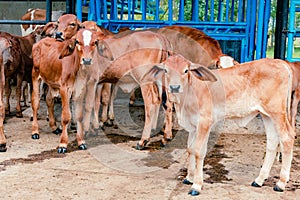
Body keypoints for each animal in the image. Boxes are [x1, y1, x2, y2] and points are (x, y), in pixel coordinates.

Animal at [143, 54, 296, 195]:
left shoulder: (205, 122)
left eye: (186, 70)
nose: (174, 87)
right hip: (266, 114)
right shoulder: (193, 126)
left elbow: (199, 151)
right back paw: (259, 180)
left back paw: (281, 183)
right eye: (166, 70)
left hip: (277, 113)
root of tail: (281, 63)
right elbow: (190, 149)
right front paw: (189, 177)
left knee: (287, 138)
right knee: (272, 141)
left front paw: (196, 185)